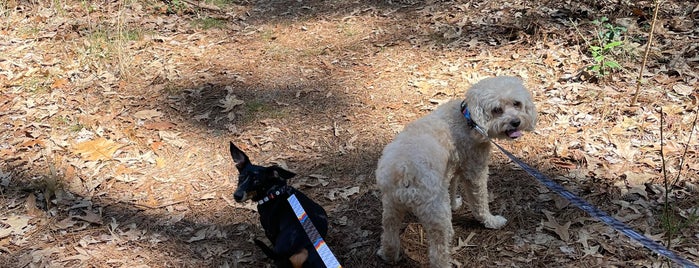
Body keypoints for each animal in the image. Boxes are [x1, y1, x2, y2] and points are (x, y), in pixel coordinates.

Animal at [378, 76, 536, 266]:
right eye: (497, 110)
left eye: (516, 103)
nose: (516, 122)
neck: (468, 120)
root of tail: (404, 173)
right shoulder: (475, 172)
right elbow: (480, 203)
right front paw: (491, 221)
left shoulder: (451, 170)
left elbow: (452, 188)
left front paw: (455, 204)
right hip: (438, 216)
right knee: (438, 253)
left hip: (391, 207)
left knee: (389, 237)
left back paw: (388, 256)